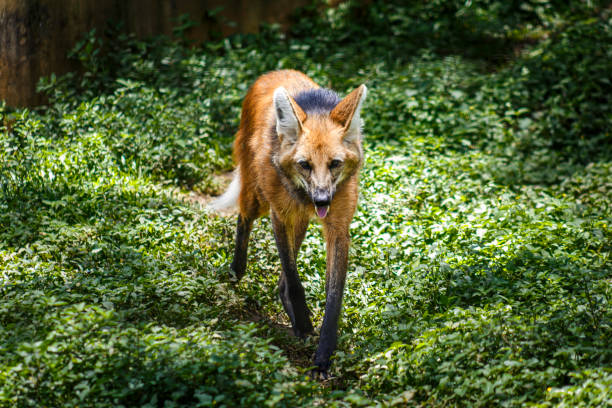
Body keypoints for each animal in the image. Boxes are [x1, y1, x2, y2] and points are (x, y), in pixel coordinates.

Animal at [213, 70, 366, 376]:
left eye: (335, 163)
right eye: (304, 164)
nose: (321, 200)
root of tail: (272, 73)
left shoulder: (338, 227)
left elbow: (334, 296)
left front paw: (323, 355)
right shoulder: (279, 215)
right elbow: (294, 281)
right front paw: (306, 326)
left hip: (302, 221)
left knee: (282, 277)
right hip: (260, 200)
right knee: (243, 216)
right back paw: (236, 272)